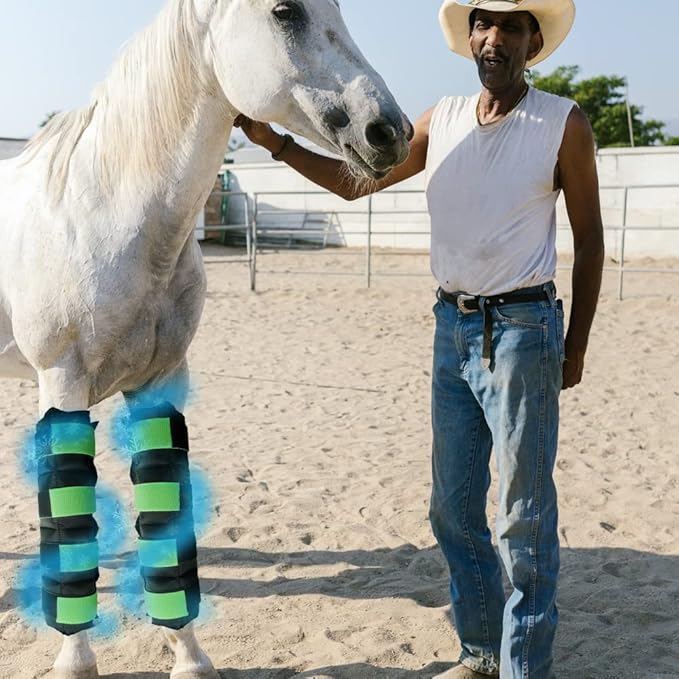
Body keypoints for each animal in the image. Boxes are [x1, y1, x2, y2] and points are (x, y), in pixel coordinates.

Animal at [0, 1, 411, 676]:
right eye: (285, 11)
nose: (390, 132)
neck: (105, 211)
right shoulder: (62, 383)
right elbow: (71, 526)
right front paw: (74, 662)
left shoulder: (161, 382)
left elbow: (167, 520)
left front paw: (190, 658)